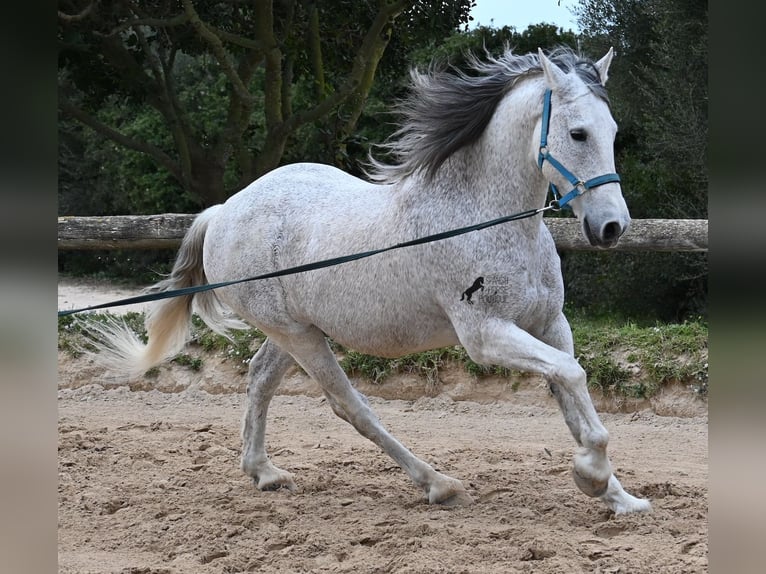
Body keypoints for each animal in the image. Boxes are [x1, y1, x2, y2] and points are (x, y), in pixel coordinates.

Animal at [90, 48, 656, 516]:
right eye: (577, 133)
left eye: (613, 131)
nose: (611, 228)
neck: (482, 219)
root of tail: (225, 210)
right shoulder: (486, 335)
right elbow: (574, 378)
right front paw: (591, 475)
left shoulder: (548, 324)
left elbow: (572, 391)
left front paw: (618, 497)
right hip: (300, 336)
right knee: (349, 406)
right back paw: (437, 484)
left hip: (295, 331)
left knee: (260, 378)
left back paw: (265, 473)